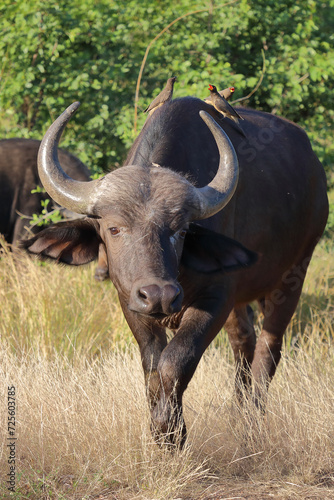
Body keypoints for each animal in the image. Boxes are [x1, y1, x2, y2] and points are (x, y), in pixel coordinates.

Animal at [23, 96, 328, 446]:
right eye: (114, 228)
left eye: (181, 230)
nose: (160, 295)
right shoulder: (131, 302)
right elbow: (152, 366)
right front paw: (160, 426)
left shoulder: (216, 298)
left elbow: (175, 360)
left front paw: (171, 431)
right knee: (243, 342)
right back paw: (237, 413)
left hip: (294, 274)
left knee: (268, 348)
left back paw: (253, 420)